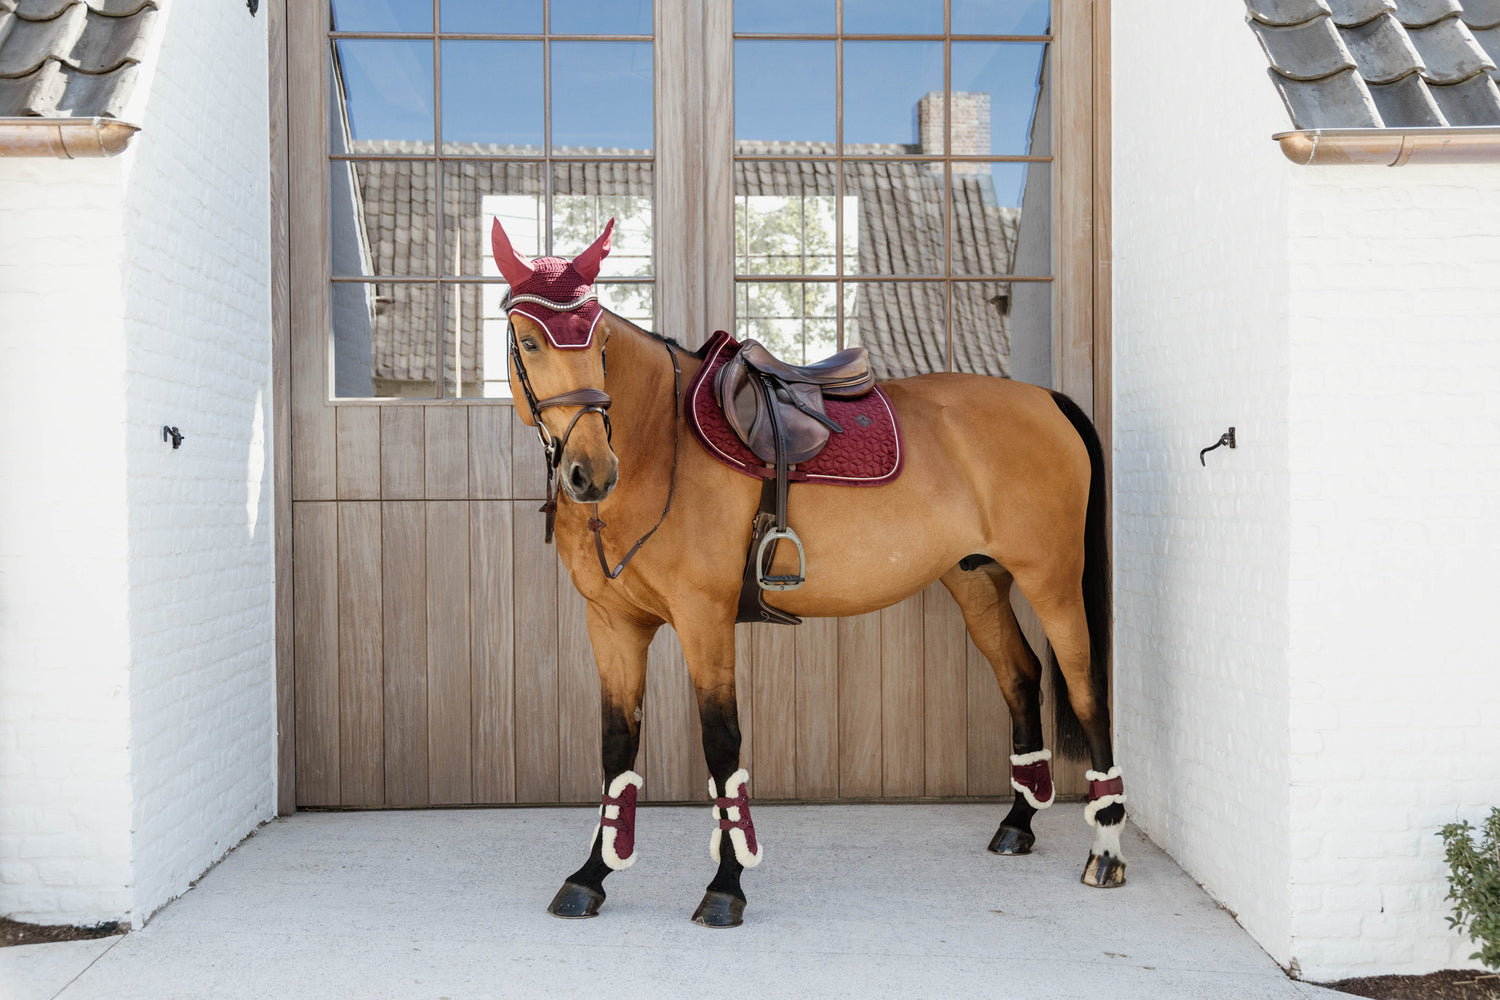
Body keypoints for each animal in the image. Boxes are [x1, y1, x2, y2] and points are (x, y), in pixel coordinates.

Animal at [491, 217, 1125, 928]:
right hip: (977, 580)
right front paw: (591, 876)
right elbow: (615, 748)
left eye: (598, 341)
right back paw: (1018, 823)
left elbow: (722, 743)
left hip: (1053, 580)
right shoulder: (613, 624)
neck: (659, 443)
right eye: (528, 341)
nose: (591, 472)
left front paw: (727, 884)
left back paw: (1105, 850)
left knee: (1086, 688)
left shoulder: (705, 619)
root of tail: (1046, 398)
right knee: (1020, 675)